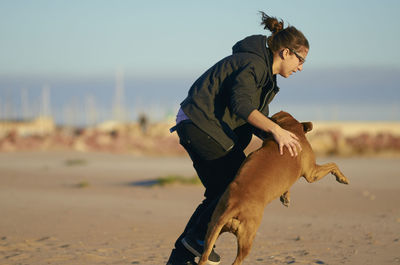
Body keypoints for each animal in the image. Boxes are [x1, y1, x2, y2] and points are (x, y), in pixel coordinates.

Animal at [198, 111, 348, 264]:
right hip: (246, 239)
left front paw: (286, 197)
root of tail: (233, 206)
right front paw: (342, 178)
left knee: (204, 255)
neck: (292, 130)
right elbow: (333, 164)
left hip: (212, 231)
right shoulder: (312, 173)